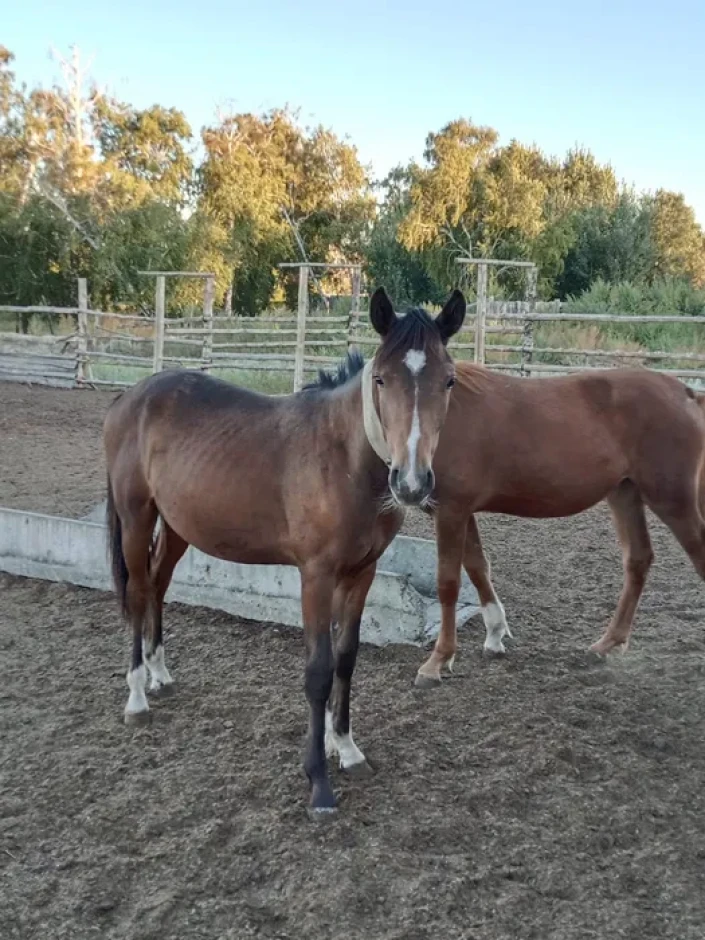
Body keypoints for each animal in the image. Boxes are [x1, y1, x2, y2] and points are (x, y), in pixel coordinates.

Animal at [102, 287, 466, 812]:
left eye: (449, 380)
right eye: (381, 378)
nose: (412, 483)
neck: (344, 459)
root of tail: (129, 398)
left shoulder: (361, 573)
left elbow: (346, 658)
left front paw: (347, 748)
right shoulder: (315, 575)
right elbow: (318, 670)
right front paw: (318, 781)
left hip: (176, 527)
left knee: (155, 584)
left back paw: (159, 674)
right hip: (136, 517)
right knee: (135, 593)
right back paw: (136, 698)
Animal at [383, 362, 705, 687]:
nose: (405, 482)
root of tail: (686, 393)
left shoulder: (450, 511)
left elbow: (449, 583)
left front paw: (437, 662)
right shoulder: (462, 512)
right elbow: (477, 567)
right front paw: (495, 636)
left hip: (672, 500)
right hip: (625, 493)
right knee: (638, 559)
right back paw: (608, 643)